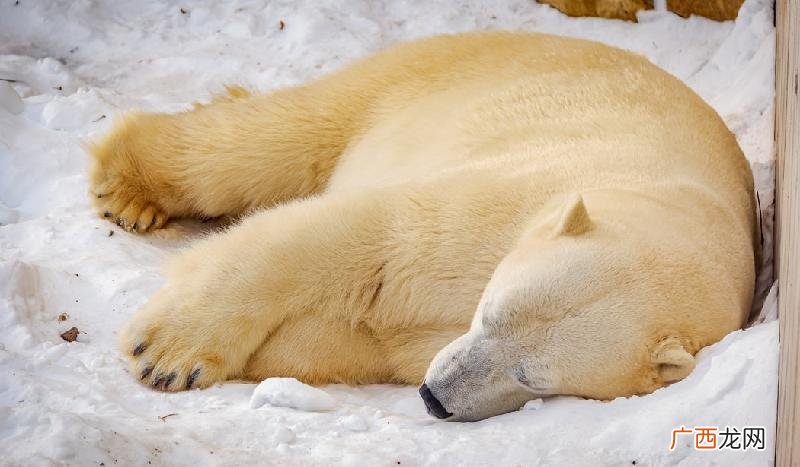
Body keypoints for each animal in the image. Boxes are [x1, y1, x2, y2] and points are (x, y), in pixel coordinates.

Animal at [87, 31, 756, 421]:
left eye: (534, 375)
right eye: (492, 312)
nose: (434, 398)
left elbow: (357, 337)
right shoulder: (505, 197)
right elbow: (356, 234)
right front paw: (166, 354)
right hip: (419, 78)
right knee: (267, 142)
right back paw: (129, 189)